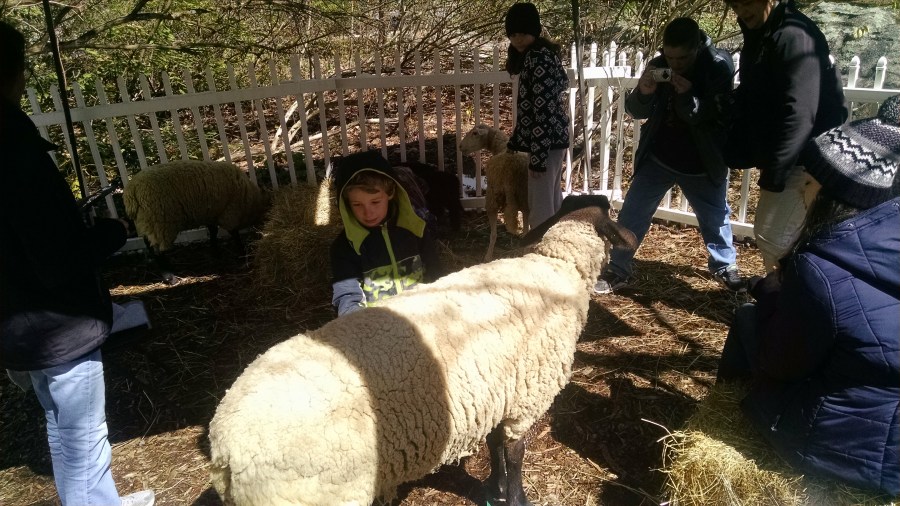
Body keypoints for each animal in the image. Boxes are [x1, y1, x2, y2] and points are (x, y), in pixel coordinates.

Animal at [123, 160, 269, 284]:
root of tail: (131, 192)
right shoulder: (230, 212)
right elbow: (234, 233)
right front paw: (242, 252)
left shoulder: (211, 214)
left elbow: (213, 231)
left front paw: (215, 251)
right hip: (158, 221)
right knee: (157, 251)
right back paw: (170, 277)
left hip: (146, 221)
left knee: (148, 244)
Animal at [207, 194, 637, 506]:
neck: (558, 267)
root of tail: (225, 448)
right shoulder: (526, 398)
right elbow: (514, 455)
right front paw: (516, 498)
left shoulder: (497, 394)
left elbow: (495, 447)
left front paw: (493, 492)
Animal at [459, 124, 530, 262]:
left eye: (474, 133)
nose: (460, 146)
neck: (501, 146)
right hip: (525, 196)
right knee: (527, 226)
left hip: (492, 197)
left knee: (494, 233)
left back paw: (488, 255)